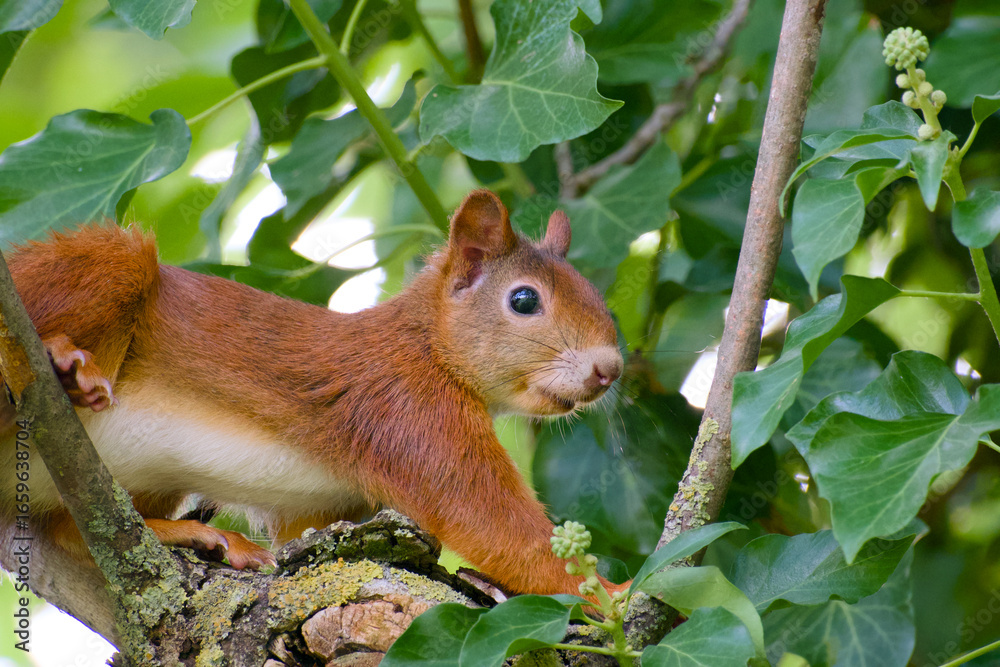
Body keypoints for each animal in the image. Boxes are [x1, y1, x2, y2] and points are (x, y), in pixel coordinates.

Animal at [0, 189, 624, 597]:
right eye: (524, 300)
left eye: (596, 292)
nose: (611, 369)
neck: (427, 346)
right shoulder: (409, 413)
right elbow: (494, 527)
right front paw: (613, 595)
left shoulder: (329, 507)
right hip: (102, 270)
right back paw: (63, 361)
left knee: (84, 532)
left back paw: (199, 537)